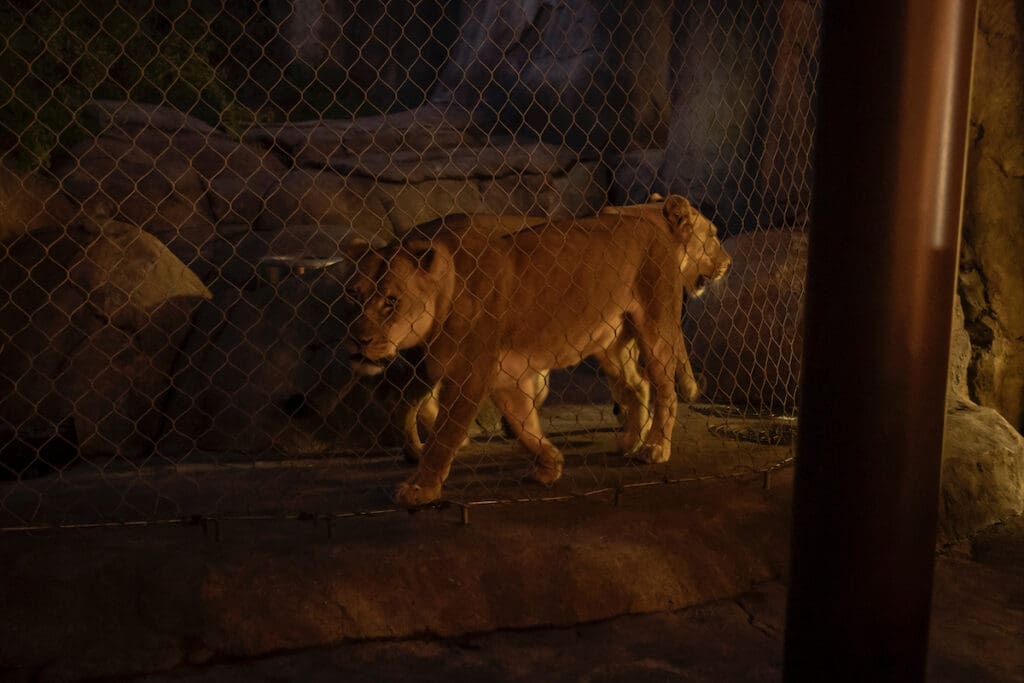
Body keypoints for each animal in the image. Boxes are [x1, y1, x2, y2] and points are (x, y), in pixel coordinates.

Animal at [342, 195, 702, 507]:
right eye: (354, 295)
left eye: (391, 301)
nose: (358, 340)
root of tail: (651, 224)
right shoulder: (507, 376)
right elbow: (522, 424)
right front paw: (550, 464)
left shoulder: (469, 375)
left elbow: (444, 436)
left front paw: (420, 488)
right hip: (609, 344)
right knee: (637, 384)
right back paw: (630, 441)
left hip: (656, 329)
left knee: (664, 389)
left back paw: (655, 447)